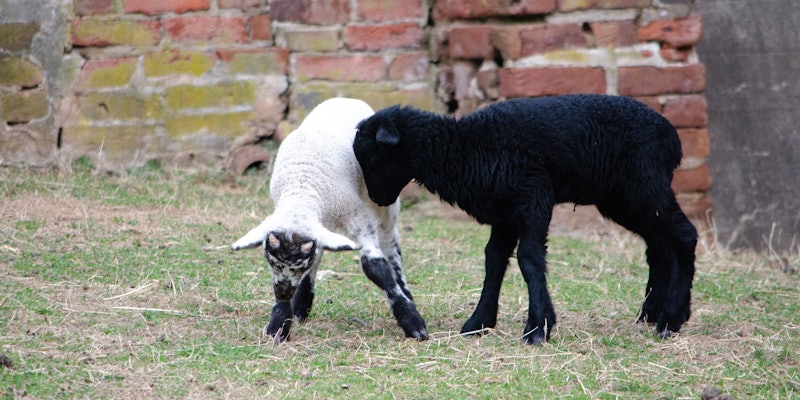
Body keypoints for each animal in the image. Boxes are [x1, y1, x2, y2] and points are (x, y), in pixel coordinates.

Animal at [232, 97, 428, 343]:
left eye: (300, 264)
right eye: (270, 260)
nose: (284, 292)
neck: (303, 186)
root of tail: (345, 98)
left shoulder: (356, 215)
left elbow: (376, 268)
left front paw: (412, 321)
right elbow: (316, 255)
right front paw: (280, 322)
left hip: (383, 199)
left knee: (390, 242)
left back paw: (404, 287)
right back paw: (301, 304)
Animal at [353, 94, 697, 345]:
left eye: (372, 156)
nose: (377, 198)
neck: (466, 148)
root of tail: (672, 138)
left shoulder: (534, 198)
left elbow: (529, 259)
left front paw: (537, 328)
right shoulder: (504, 211)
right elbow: (493, 260)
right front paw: (478, 323)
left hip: (645, 183)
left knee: (684, 235)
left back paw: (671, 320)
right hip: (622, 198)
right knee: (659, 245)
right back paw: (652, 314)